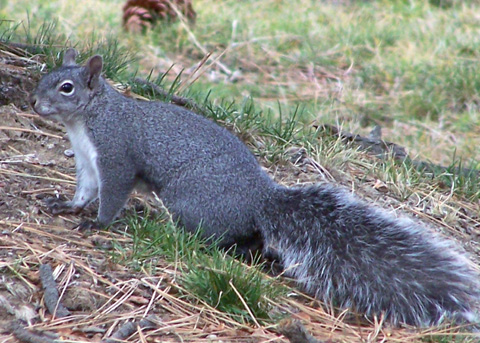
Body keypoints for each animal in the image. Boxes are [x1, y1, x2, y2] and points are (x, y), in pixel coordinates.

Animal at [31, 48, 480, 328]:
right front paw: (67, 207)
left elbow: (113, 194)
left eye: (67, 87)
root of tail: (259, 200)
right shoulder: (87, 161)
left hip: (189, 200)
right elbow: (85, 191)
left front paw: (99, 224)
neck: (90, 118)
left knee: (223, 240)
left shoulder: (116, 156)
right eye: (47, 76)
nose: (35, 103)